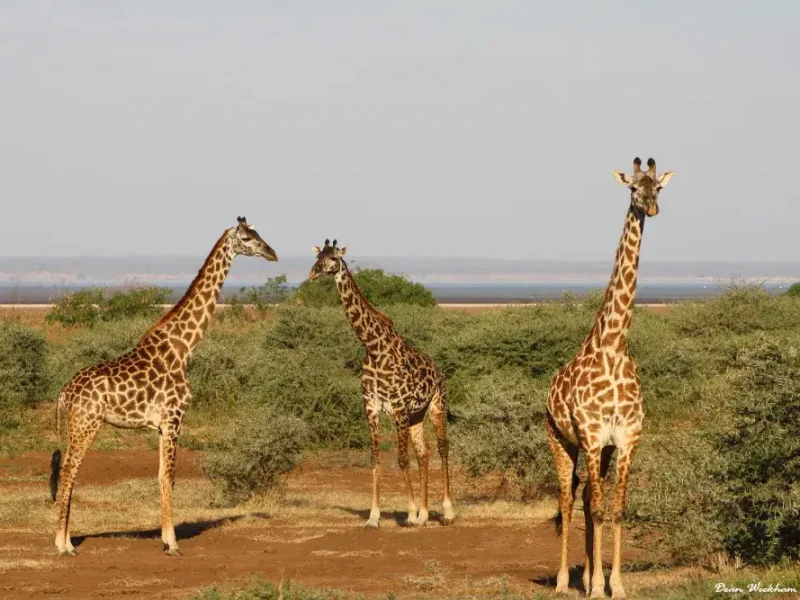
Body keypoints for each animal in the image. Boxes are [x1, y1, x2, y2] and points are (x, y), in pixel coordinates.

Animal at [49, 217, 277, 557]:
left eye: (259, 234)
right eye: (248, 238)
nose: (272, 253)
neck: (183, 348)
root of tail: (64, 393)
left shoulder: (160, 425)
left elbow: (160, 477)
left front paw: (165, 538)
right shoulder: (174, 418)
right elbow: (169, 477)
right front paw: (173, 543)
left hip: (78, 425)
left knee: (68, 470)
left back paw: (64, 540)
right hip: (86, 423)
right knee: (68, 470)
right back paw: (64, 545)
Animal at [309, 239, 455, 528]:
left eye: (334, 257)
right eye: (318, 256)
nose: (314, 272)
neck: (373, 348)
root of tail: (438, 370)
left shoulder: (398, 408)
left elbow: (401, 459)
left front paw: (409, 514)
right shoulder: (372, 408)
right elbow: (376, 459)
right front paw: (374, 517)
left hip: (436, 405)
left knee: (442, 448)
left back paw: (446, 511)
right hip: (416, 415)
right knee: (424, 453)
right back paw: (425, 515)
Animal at [546, 158, 674, 598]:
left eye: (658, 187)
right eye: (633, 188)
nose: (650, 206)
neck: (615, 347)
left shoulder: (626, 439)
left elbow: (615, 509)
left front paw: (613, 584)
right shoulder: (590, 435)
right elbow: (598, 509)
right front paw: (597, 585)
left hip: (598, 451)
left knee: (586, 497)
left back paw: (587, 576)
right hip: (561, 440)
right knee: (567, 499)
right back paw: (564, 581)